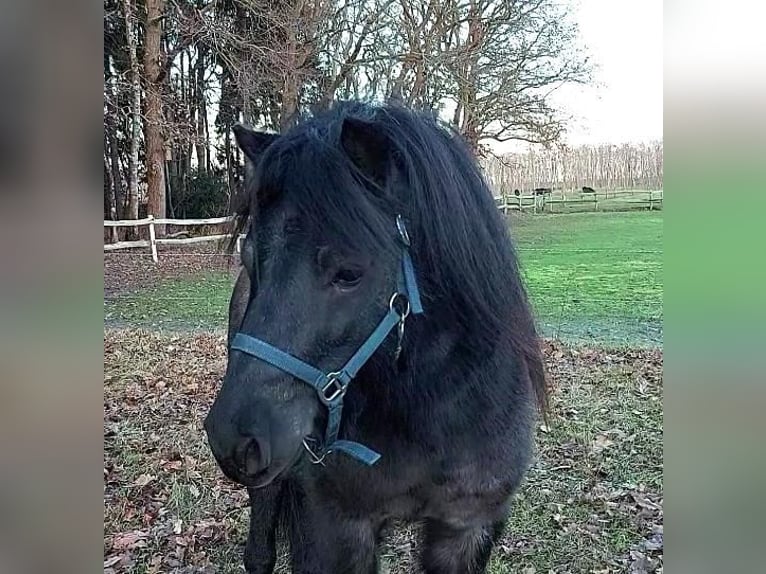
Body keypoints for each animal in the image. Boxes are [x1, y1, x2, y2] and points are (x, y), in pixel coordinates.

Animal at [207, 103, 548, 574]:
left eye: (349, 273)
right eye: (249, 255)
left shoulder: (467, 528)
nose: (235, 437)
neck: (430, 409)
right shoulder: (335, 528)